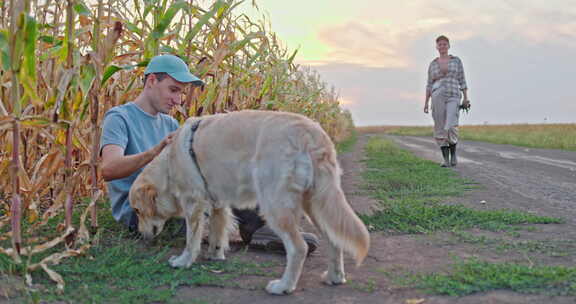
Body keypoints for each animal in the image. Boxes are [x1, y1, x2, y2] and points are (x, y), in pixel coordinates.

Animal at [129, 110, 372, 294]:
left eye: (138, 211)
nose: (141, 234)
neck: (169, 164)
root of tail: (311, 132)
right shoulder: (217, 203)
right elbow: (218, 232)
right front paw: (215, 255)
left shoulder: (193, 202)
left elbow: (191, 240)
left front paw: (183, 261)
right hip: (315, 203)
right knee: (334, 240)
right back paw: (334, 277)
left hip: (275, 203)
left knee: (298, 248)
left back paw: (284, 286)